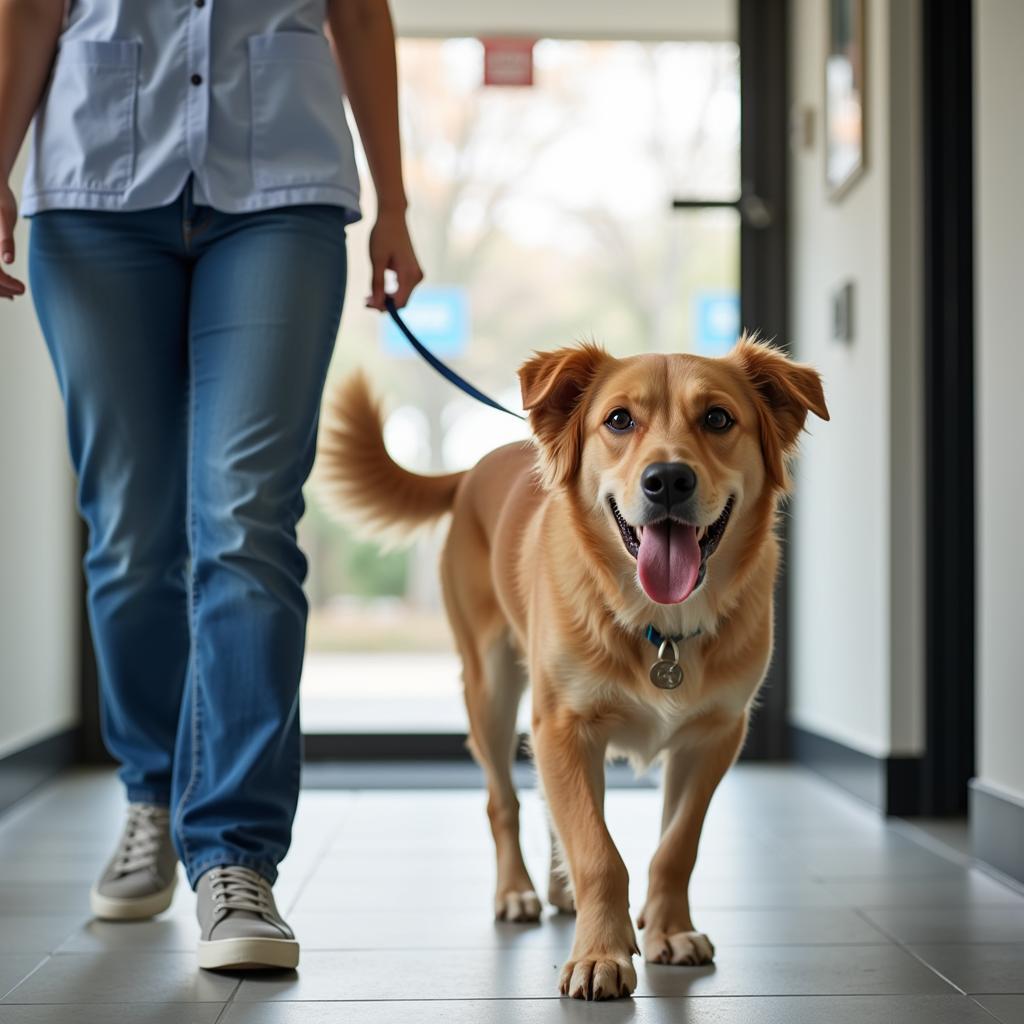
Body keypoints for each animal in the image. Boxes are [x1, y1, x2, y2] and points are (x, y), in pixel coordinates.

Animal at [315, 337, 827, 999]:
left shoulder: (713, 736)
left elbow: (675, 846)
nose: (667, 480)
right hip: (492, 690)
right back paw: (518, 892)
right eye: (619, 420)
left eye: (718, 418)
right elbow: (598, 851)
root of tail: (476, 466)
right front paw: (601, 953)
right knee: (504, 803)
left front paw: (668, 931)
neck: (659, 624)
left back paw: (562, 892)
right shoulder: (564, 725)